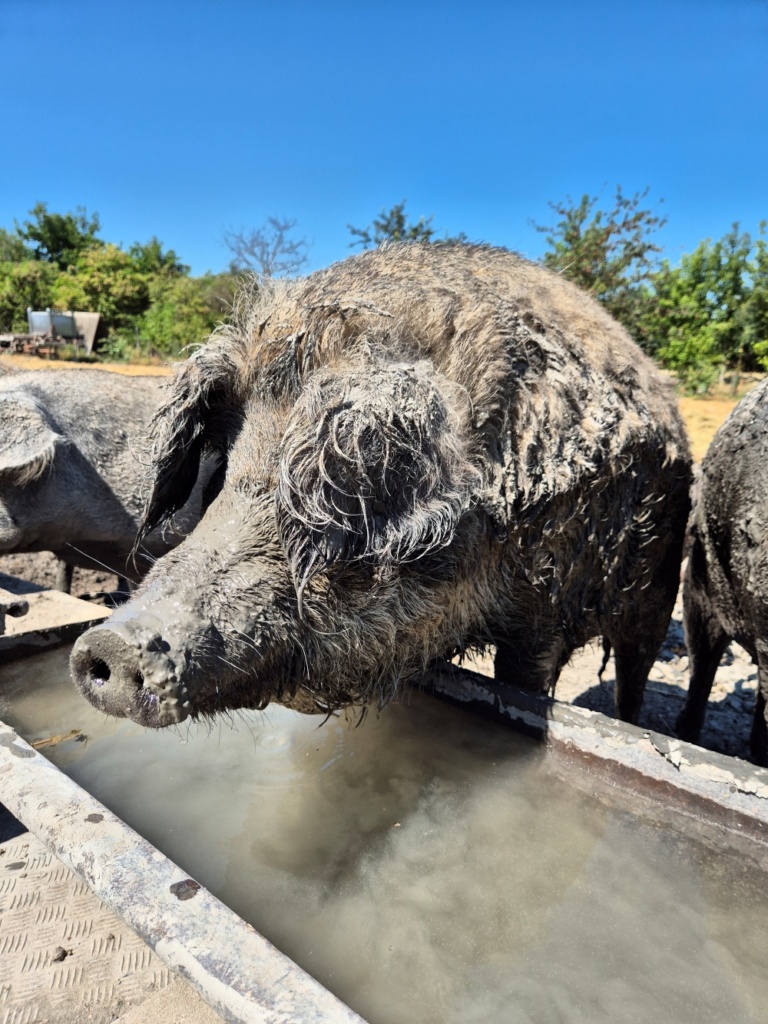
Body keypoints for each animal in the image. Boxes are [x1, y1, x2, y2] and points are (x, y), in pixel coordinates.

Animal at [72, 242, 696, 729]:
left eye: (325, 493)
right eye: (223, 473)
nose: (110, 643)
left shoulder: (544, 606)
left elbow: (523, 680)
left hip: (659, 586)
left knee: (635, 672)